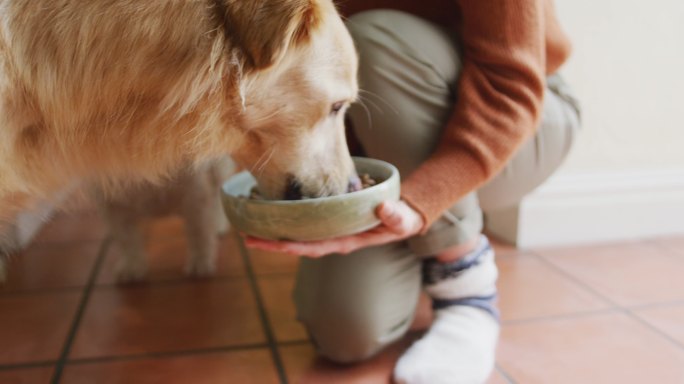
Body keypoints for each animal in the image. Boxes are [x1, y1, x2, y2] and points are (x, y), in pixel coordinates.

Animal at [0, 0, 360, 276]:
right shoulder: (115, 206)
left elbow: (198, 227)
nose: (354, 186)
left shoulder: (194, 195)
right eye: (336, 106)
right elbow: (127, 236)